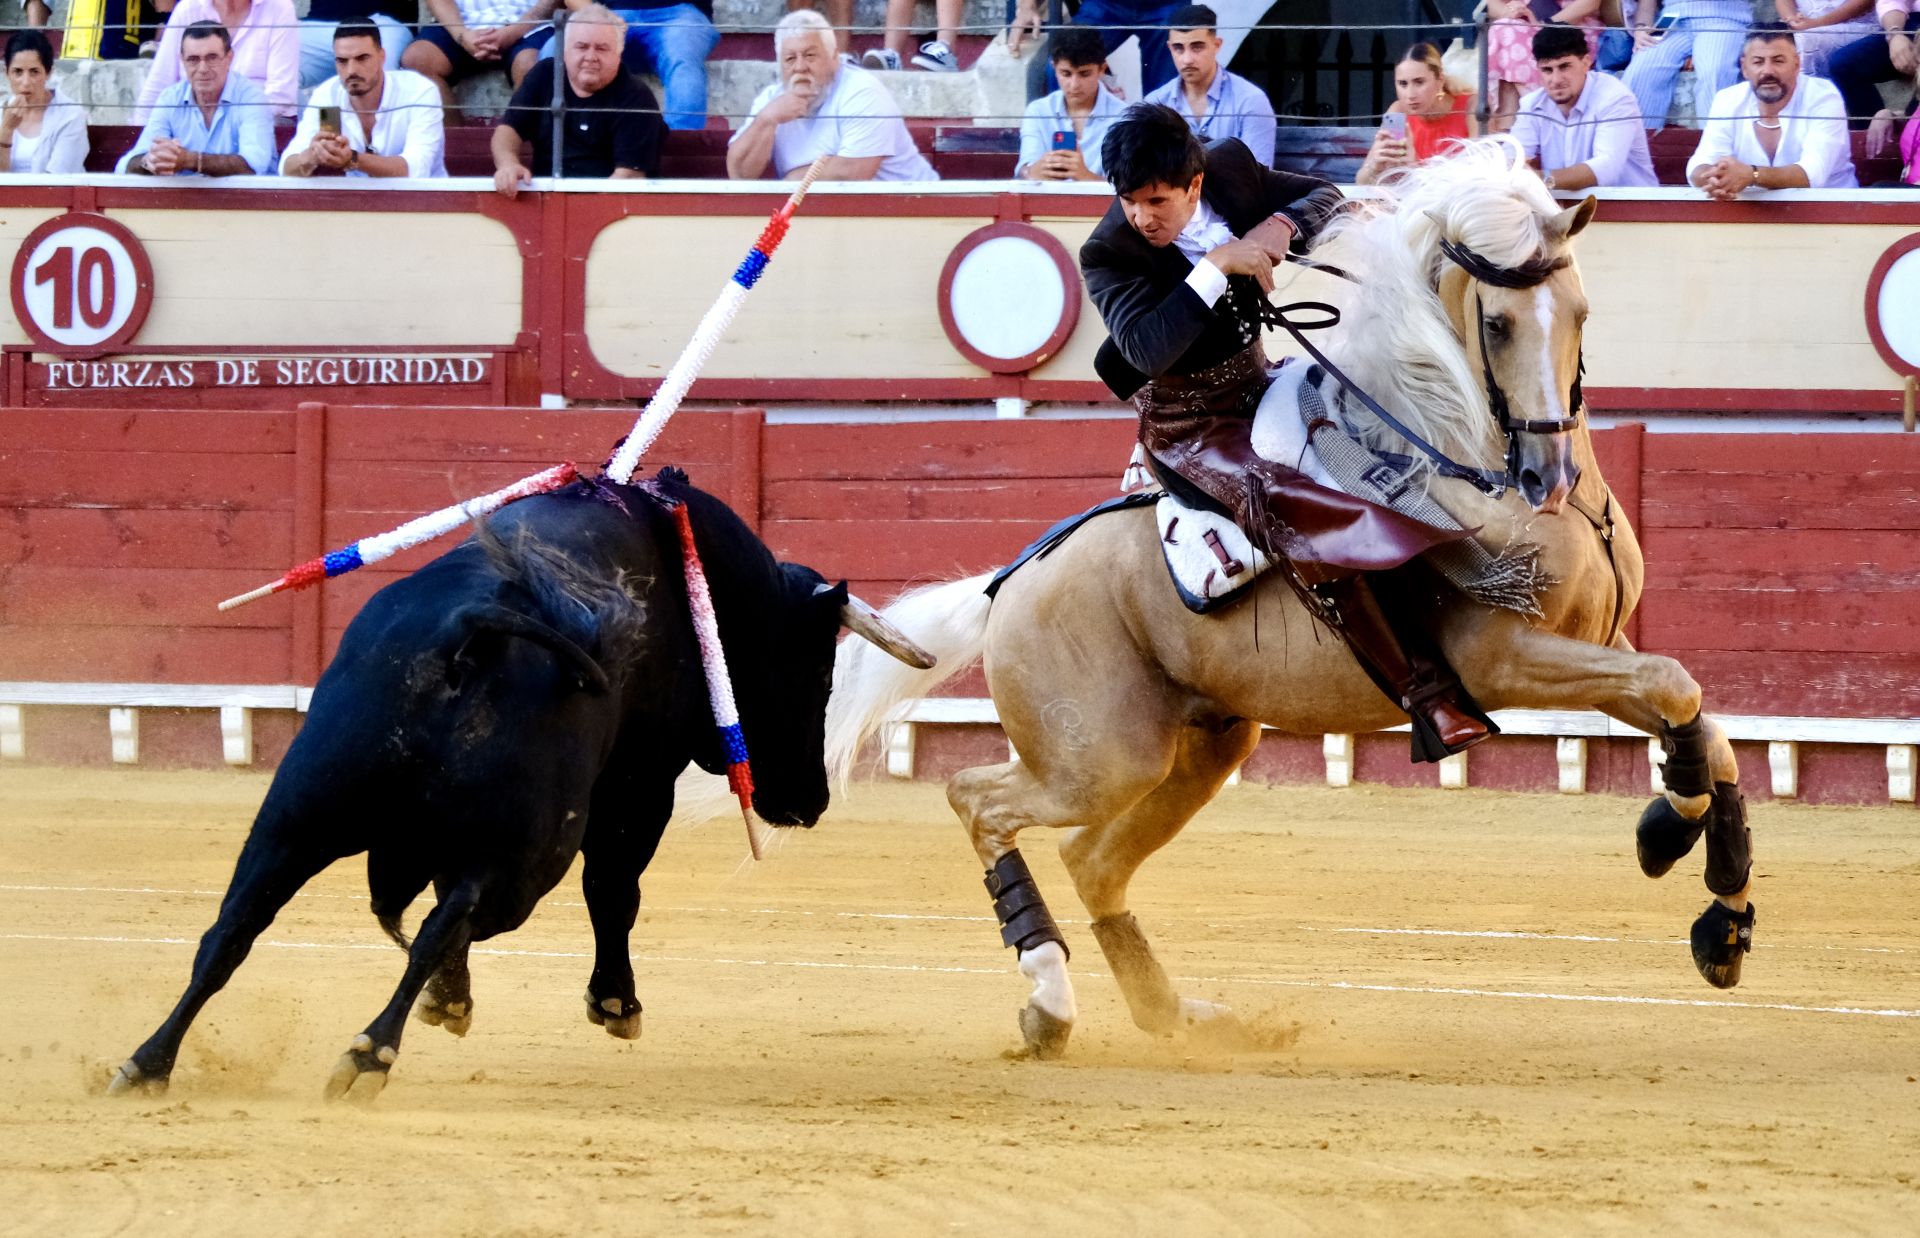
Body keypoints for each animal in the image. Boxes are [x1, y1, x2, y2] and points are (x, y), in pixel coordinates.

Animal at [105, 468, 929, 1097]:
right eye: (818, 671)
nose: (809, 801)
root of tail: (475, 627)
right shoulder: (639, 785)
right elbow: (614, 890)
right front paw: (614, 1001)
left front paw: (454, 999)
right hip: (532, 850)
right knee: (454, 919)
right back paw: (372, 1052)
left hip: (298, 814)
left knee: (234, 927)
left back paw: (147, 1063)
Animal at [817, 142, 1751, 1051]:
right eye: (1496, 323)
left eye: (1582, 312)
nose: (1545, 478)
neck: (1454, 453)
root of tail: (1008, 584)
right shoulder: (1505, 660)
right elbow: (1679, 690)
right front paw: (1672, 834)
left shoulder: (1602, 647)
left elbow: (1699, 716)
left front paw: (1716, 905)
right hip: (1094, 759)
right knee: (980, 801)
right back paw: (1050, 1003)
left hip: (1202, 744)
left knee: (1093, 861)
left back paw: (1178, 1016)